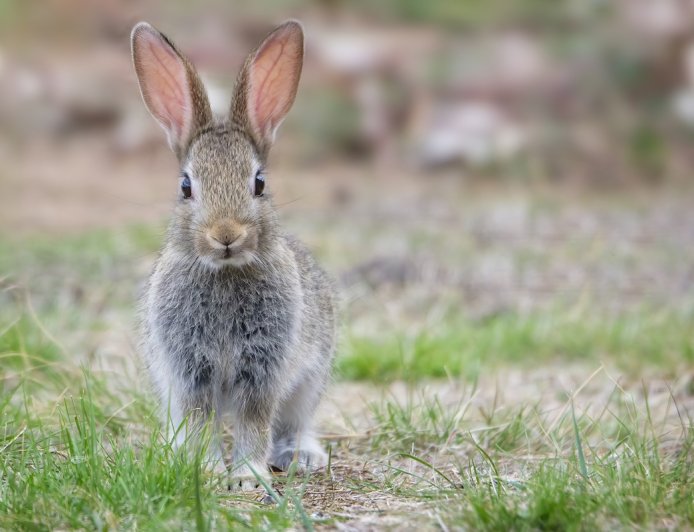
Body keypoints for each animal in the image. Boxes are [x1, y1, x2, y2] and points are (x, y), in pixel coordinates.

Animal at [131, 20, 336, 490]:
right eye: (186, 186)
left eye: (259, 183)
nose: (226, 235)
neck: (225, 272)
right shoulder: (190, 372)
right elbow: (200, 420)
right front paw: (204, 470)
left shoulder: (263, 368)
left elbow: (255, 420)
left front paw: (246, 476)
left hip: (312, 379)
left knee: (295, 421)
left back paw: (302, 455)